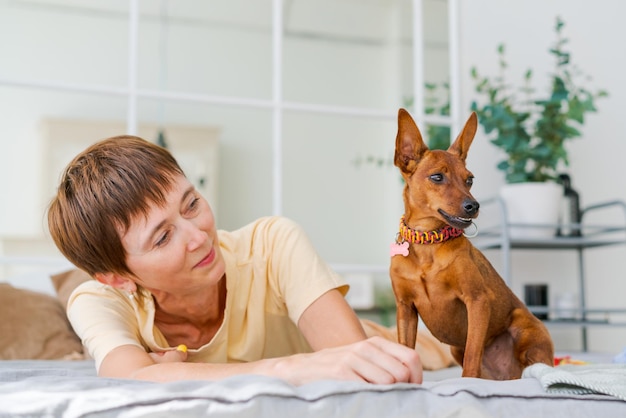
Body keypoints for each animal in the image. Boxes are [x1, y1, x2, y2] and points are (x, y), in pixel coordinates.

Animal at [390, 108, 552, 378]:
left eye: (470, 180)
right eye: (437, 177)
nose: (473, 206)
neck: (428, 244)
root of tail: (508, 376)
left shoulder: (477, 301)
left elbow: (472, 356)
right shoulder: (405, 309)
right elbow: (405, 350)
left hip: (524, 329)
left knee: (537, 368)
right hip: (456, 348)